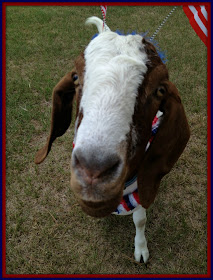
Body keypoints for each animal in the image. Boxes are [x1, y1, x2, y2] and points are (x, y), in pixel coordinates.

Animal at [34, 17, 190, 262]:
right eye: (76, 77)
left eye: (159, 90)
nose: (94, 170)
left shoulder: (143, 183)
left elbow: (140, 219)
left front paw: (141, 248)